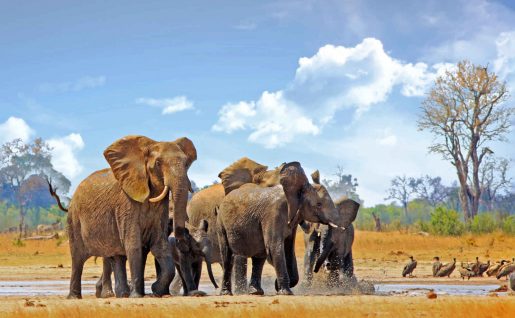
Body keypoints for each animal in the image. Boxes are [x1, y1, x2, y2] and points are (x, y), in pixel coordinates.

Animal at [65, 134, 198, 298]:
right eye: (158, 163)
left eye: (186, 163)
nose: (183, 241)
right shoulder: (126, 204)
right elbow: (133, 244)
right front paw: (138, 296)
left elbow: (160, 245)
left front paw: (156, 290)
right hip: (74, 218)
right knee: (77, 258)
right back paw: (75, 297)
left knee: (117, 257)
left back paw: (122, 295)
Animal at [218, 161, 350, 296]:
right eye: (319, 204)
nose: (326, 266)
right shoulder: (273, 214)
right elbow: (274, 247)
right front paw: (285, 292)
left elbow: (289, 248)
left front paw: (280, 286)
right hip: (221, 223)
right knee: (227, 256)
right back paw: (227, 293)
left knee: (259, 257)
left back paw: (256, 292)